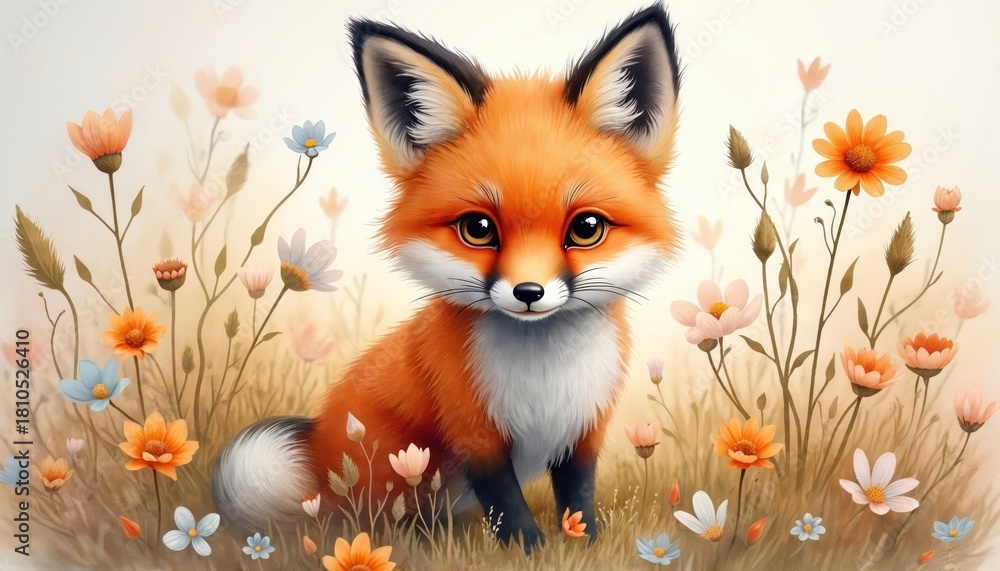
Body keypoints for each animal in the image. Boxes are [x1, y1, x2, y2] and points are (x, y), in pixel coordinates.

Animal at [213, 4, 682, 550]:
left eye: (586, 229)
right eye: (478, 229)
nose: (528, 292)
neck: (544, 377)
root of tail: (315, 461)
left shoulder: (583, 428)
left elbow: (578, 499)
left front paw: (584, 545)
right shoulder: (473, 431)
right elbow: (507, 505)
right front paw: (530, 551)